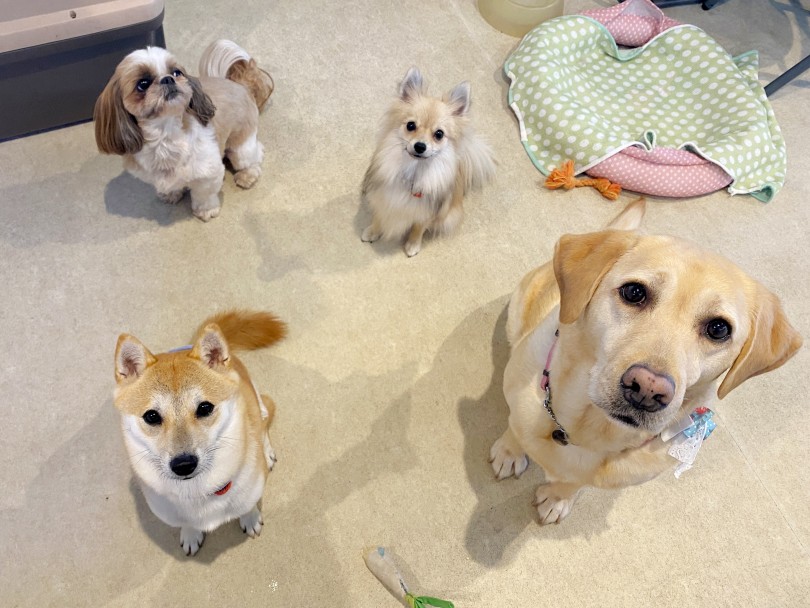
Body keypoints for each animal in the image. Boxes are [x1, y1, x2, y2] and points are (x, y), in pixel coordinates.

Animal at [95, 40, 274, 221]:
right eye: (142, 84)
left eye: (176, 72)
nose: (168, 79)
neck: (165, 136)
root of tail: (240, 85)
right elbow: (173, 186)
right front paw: (171, 194)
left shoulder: (208, 173)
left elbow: (204, 194)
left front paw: (206, 210)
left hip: (242, 147)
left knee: (253, 156)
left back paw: (247, 175)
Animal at [112, 312, 286, 552]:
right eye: (151, 416)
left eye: (205, 408)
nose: (183, 464)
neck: (196, 490)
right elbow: (187, 523)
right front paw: (191, 534)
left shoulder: (250, 491)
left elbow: (247, 506)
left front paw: (250, 519)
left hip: (259, 402)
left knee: (264, 420)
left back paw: (266, 452)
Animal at [360, 66, 492, 256]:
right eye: (411, 125)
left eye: (439, 134)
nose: (420, 146)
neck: (413, 172)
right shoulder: (383, 198)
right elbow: (379, 216)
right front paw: (373, 231)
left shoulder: (427, 212)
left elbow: (418, 228)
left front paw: (413, 244)